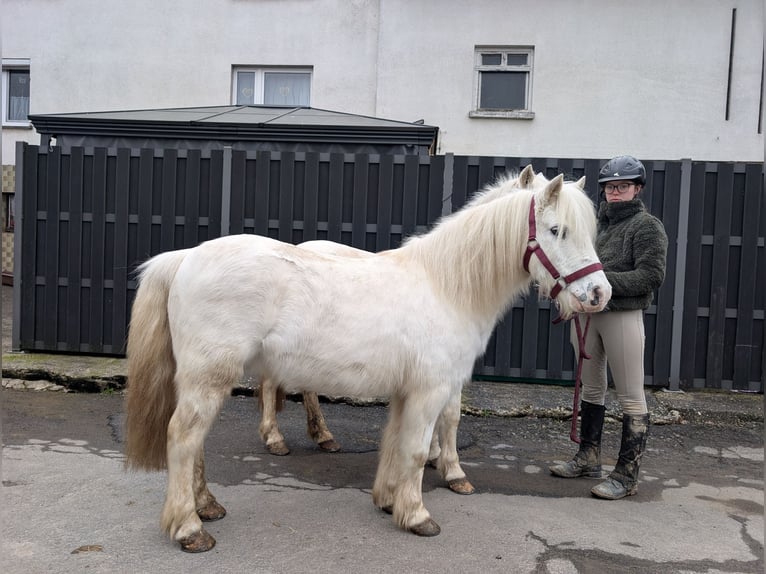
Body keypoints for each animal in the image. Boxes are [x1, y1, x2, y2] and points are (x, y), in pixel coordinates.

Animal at [124, 167, 611, 552]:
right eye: (556, 230)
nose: (598, 294)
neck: (445, 284)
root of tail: (186, 258)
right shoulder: (431, 390)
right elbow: (417, 449)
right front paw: (418, 515)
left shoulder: (408, 392)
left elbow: (395, 444)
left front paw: (389, 500)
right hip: (210, 376)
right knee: (183, 438)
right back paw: (190, 529)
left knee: (196, 442)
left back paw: (208, 506)